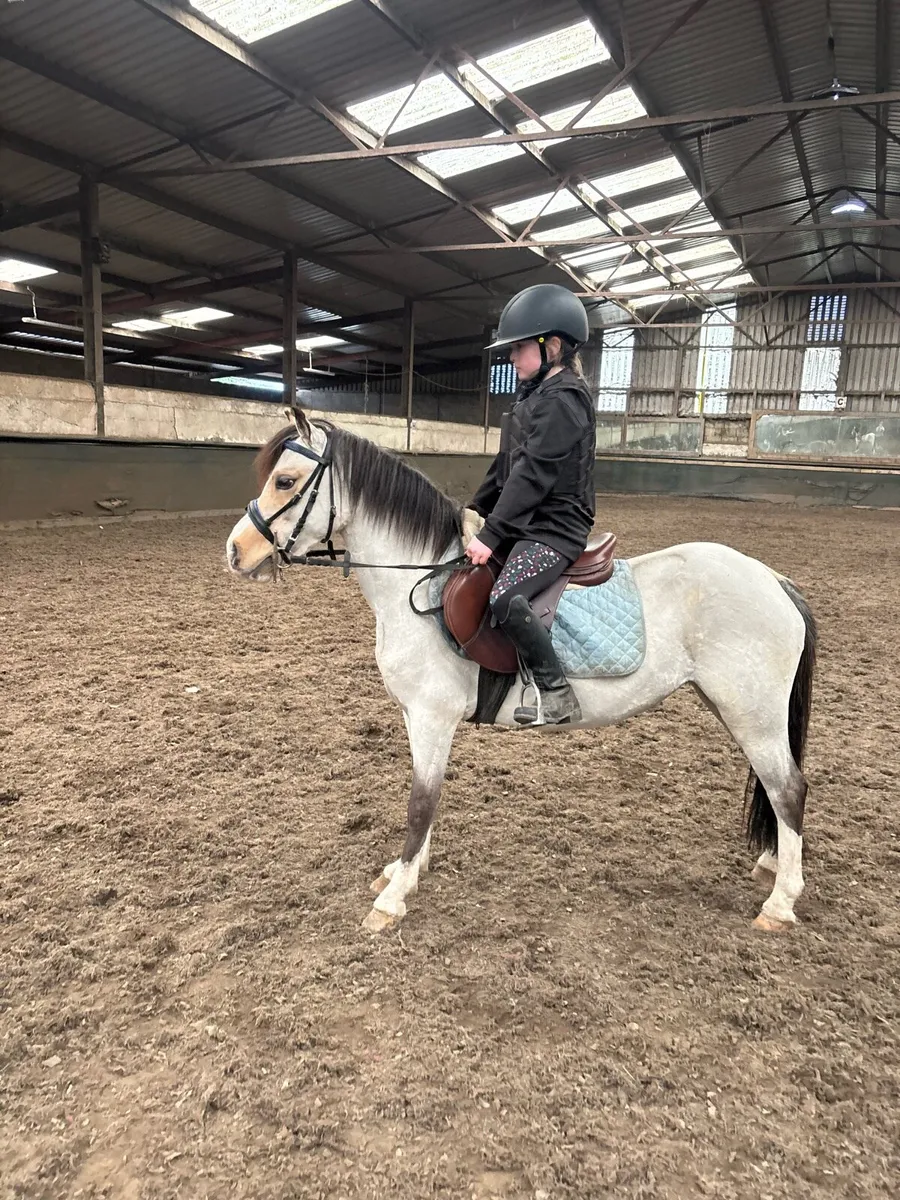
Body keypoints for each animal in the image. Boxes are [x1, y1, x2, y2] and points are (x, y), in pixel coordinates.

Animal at [226, 406, 816, 936]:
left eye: (285, 480)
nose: (236, 551)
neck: (421, 585)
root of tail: (773, 579)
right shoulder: (417, 718)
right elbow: (425, 797)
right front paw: (405, 871)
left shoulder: (433, 717)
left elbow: (420, 803)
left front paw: (393, 899)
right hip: (733, 707)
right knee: (775, 787)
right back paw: (771, 863)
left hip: (753, 713)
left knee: (789, 788)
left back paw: (780, 902)